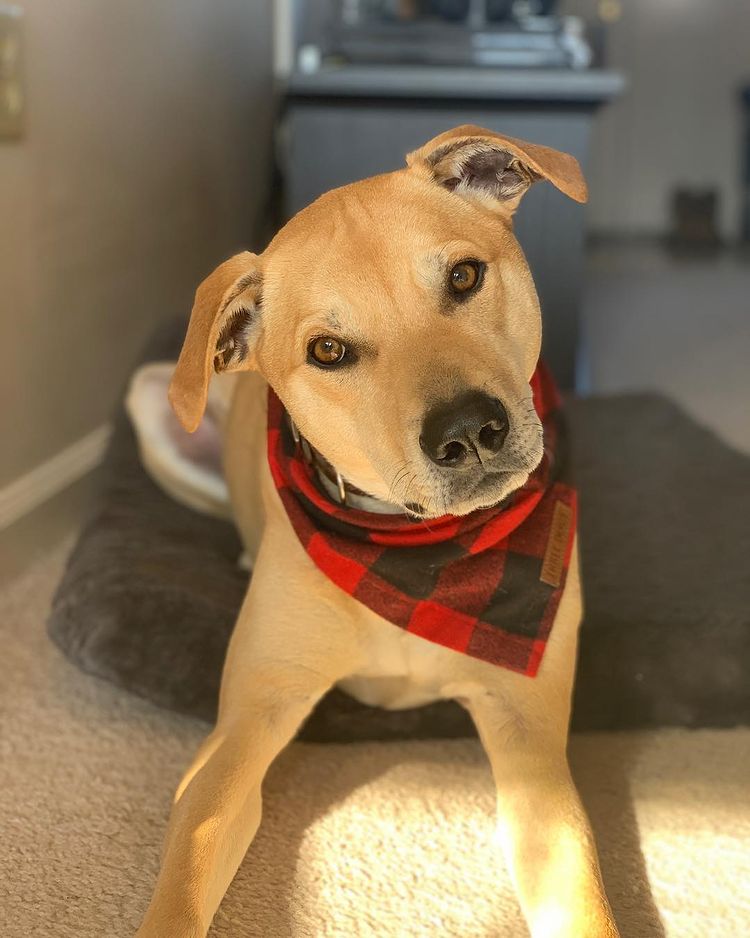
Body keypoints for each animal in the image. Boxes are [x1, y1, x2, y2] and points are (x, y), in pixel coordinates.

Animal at [138, 126, 620, 936]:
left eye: (464, 276)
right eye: (328, 351)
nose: (469, 431)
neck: (412, 553)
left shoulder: (531, 742)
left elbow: (581, 897)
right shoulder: (242, 728)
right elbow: (186, 870)